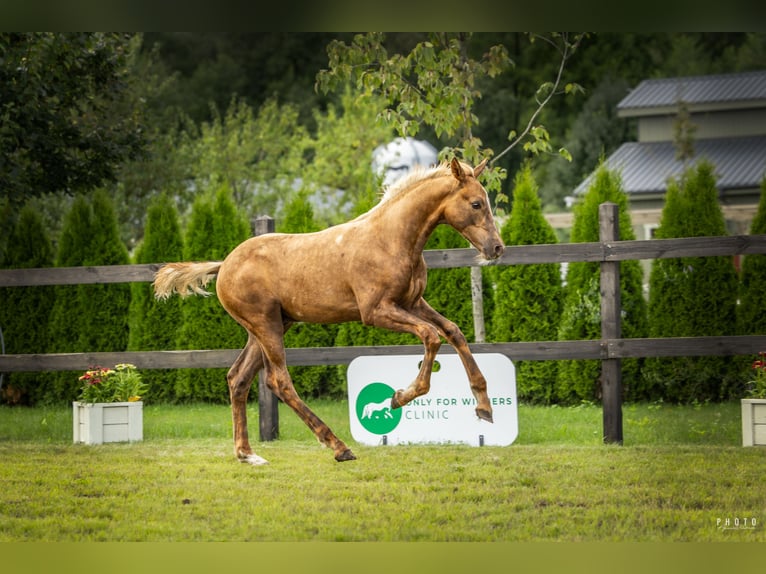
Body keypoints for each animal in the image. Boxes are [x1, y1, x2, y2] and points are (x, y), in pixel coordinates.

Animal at [153, 158, 504, 465]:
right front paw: (400, 396)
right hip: (266, 325)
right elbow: (431, 336)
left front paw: (484, 407)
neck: (391, 239)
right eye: (476, 204)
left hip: (271, 326)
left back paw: (247, 454)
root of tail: (224, 265)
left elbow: (453, 331)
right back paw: (338, 446)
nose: (497, 248)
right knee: (278, 381)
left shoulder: (413, 303)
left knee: (238, 378)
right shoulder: (377, 311)